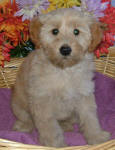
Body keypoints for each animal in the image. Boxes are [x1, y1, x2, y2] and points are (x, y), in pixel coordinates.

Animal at [11, 8, 110, 146]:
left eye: (76, 32)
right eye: (55, 31)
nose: (65, 50)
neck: (64, 70)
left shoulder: (84, 94)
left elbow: (90, 118)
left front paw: (97, 137)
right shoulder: (42, 101)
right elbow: (49, 126)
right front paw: (54, 144)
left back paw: (66, 125)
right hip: (18, 104)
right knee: (25, 117)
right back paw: (23, 126)